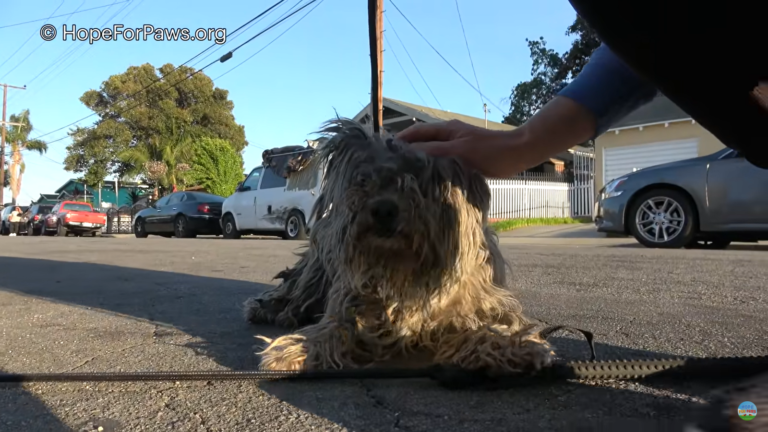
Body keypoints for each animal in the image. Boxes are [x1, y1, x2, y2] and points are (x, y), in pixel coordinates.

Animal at [244, 117, 552, 372]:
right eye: (364, 179)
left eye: (421, 182)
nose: (383, 209)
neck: (404, 266)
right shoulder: (351, 300)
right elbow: (335, 328)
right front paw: (295, 350)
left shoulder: (478, 302)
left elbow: (488, 326)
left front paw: (514, 346)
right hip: (316, 268)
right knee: (296, 288)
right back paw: (270, 308)